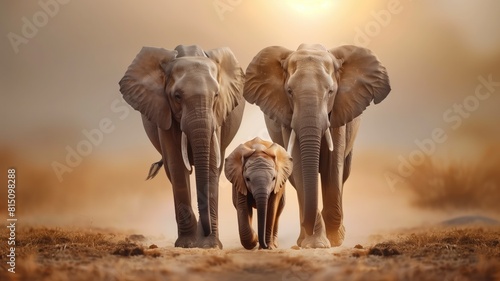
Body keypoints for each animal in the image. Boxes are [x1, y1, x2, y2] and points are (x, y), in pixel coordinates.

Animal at [121, 44, 246, 247]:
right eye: (177, 97)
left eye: (216, 95)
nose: (205, 231)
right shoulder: (164, 112)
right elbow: (178, 166)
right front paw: (187, 244)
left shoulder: (217, 115)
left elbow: (211, 166)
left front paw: (210, 245)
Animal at [244, 43, 392, 247]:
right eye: (289, 91)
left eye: (330, 91)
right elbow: (299, 166)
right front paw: (315, 243)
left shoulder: (338, 112)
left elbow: (333, 166)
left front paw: (335, 239)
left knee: (343, 174)